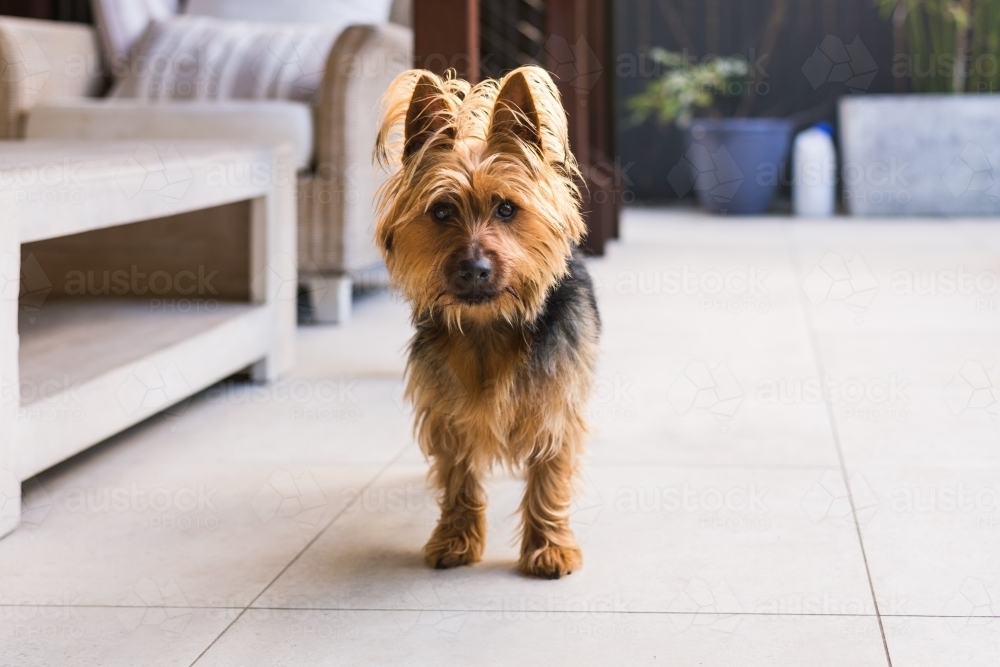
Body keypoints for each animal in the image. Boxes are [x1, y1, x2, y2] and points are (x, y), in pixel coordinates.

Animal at [372, 66, 596, 580]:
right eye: (441, 211)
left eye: (507, 208)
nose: (474, 269)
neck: (488, 324)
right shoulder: (446, 411)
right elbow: (458, 477)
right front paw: (455, 539)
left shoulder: (556, 403)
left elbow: (550, 477)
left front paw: (549, 547)